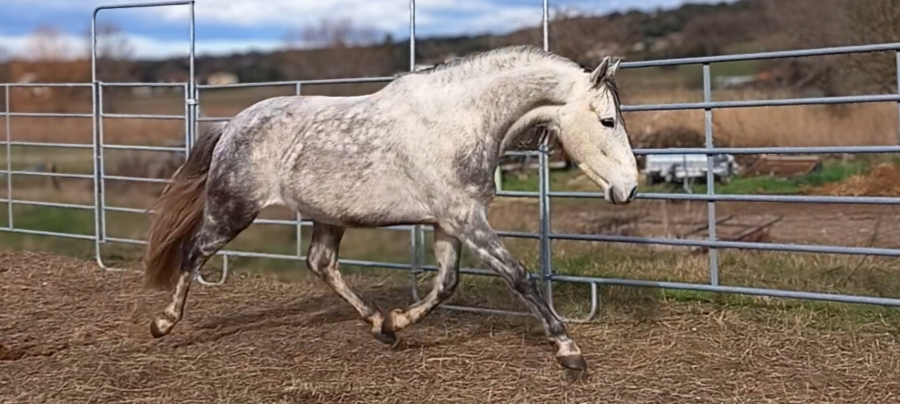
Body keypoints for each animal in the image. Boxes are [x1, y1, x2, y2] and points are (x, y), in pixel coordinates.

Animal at [141, 45, 639, 371]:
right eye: (606, 120)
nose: (630, 188)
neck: (460, 120)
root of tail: (230, 125)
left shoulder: (448, 222)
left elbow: (446, 284)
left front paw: (398, 319)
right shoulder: (467, 219)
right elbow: (519, 276)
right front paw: (569, 351)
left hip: (327, 217)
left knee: (321, 263)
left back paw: (378, 323)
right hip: (231, 211)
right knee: (193, 252)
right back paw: (163, 323)